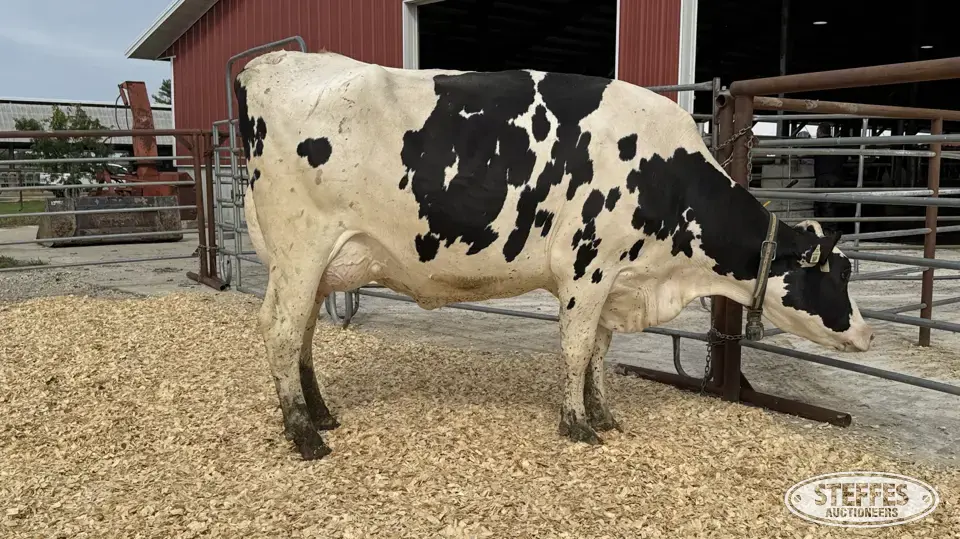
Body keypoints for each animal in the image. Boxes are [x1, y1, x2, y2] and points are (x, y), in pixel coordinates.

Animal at [233, 50, 874, 460]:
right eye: (836, 275)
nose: (867, 334)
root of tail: (268, 64)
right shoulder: (588, 268)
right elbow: (575, 347)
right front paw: (577, 426)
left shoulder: (616, 279)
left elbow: (598, 351)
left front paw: (605, 415)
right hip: (301, 250)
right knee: (282, 330)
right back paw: (305, 436)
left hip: (314, 265)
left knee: (303, 333)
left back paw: (320, 413)